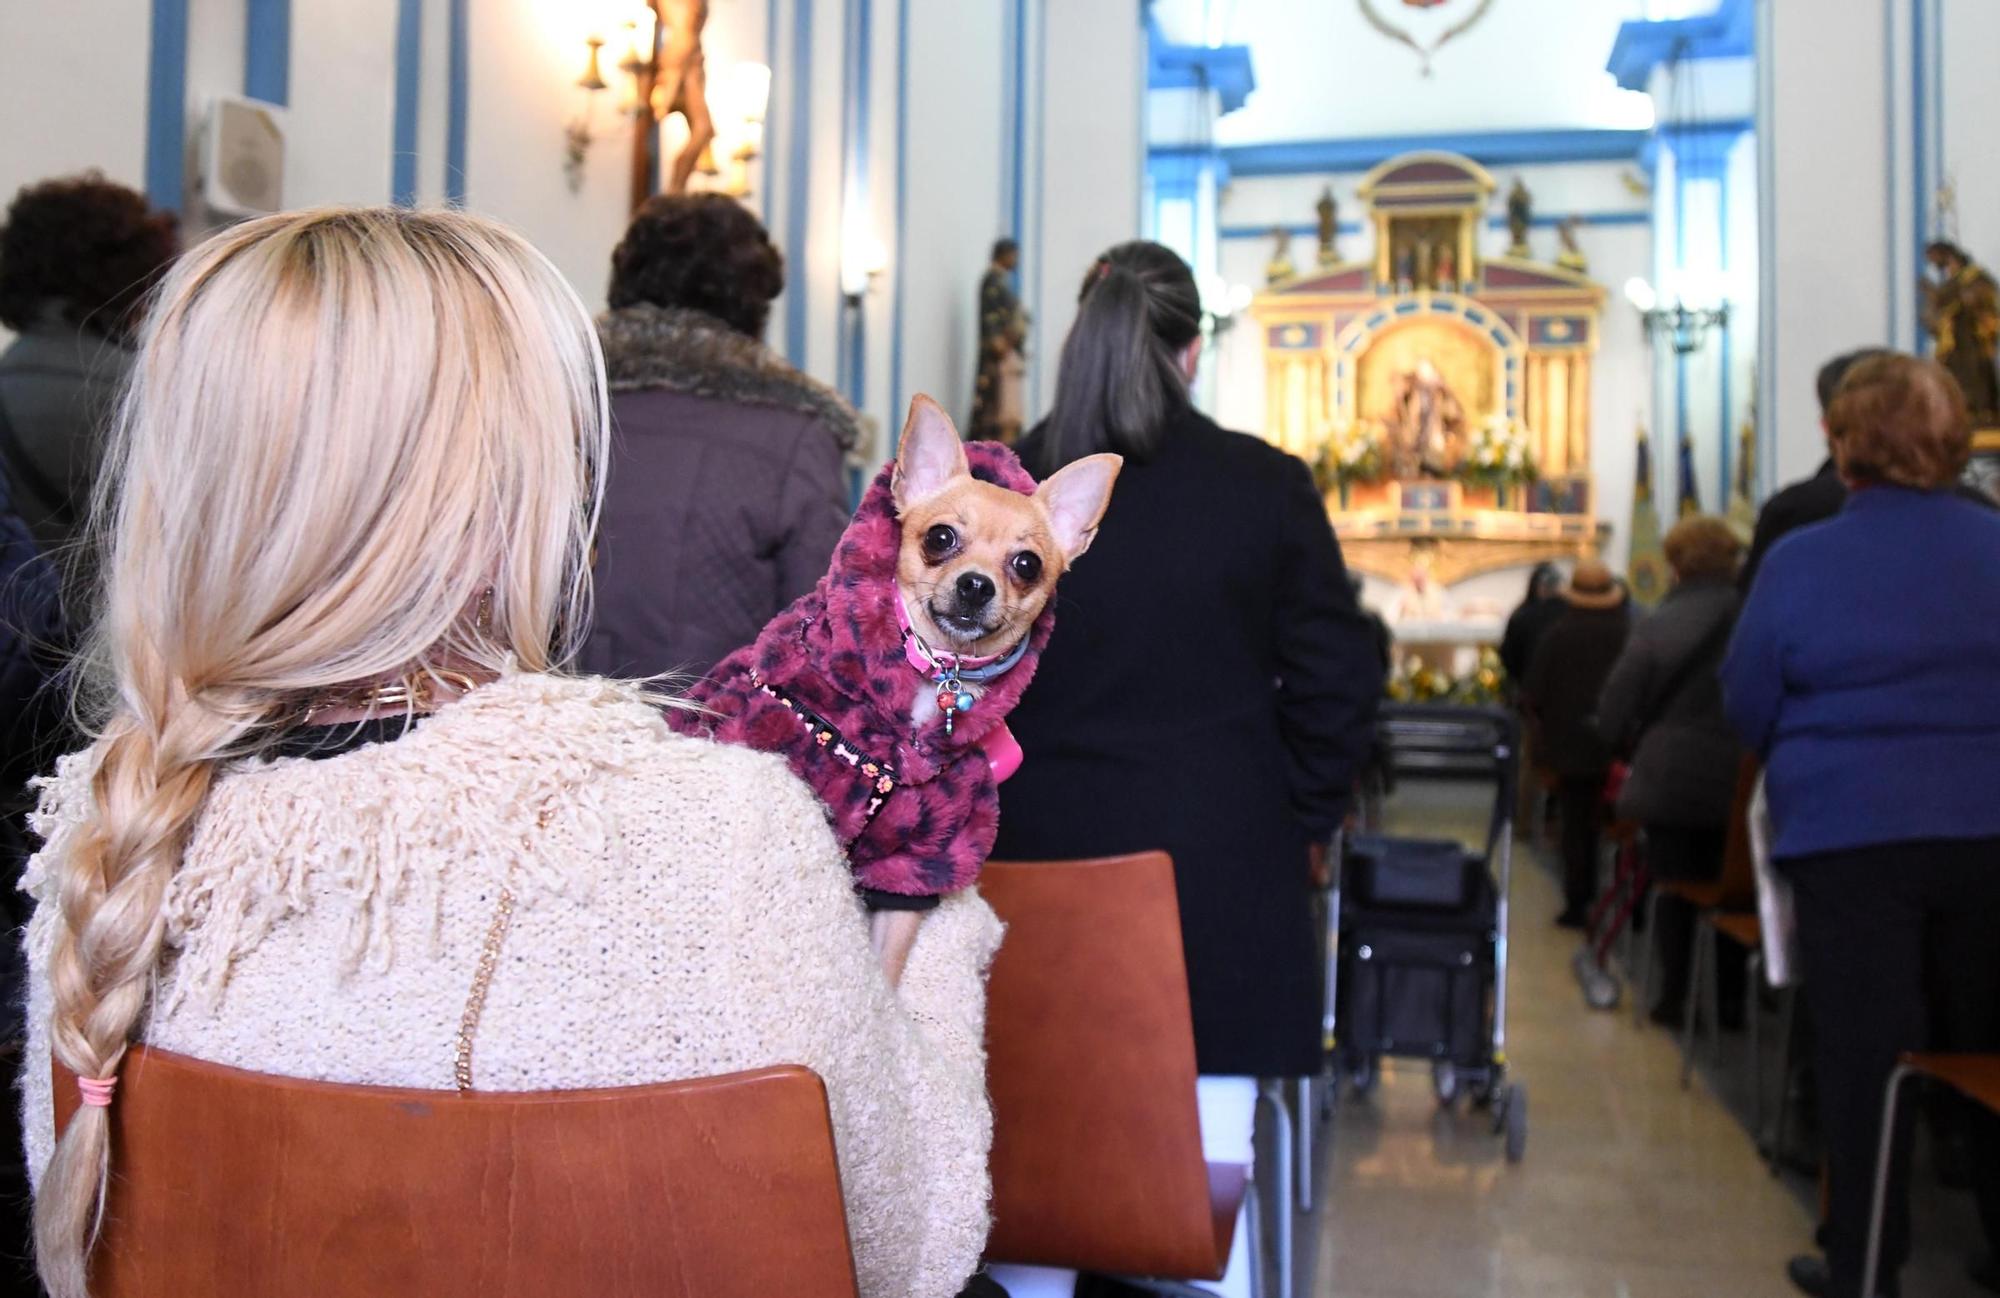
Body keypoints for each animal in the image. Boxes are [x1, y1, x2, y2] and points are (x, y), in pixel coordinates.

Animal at [668, 400, 1112, 976]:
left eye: (1027, 564)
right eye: (940, 538)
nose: (976, 584)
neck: (937, 677)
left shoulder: (914, 867)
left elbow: (885, 967)